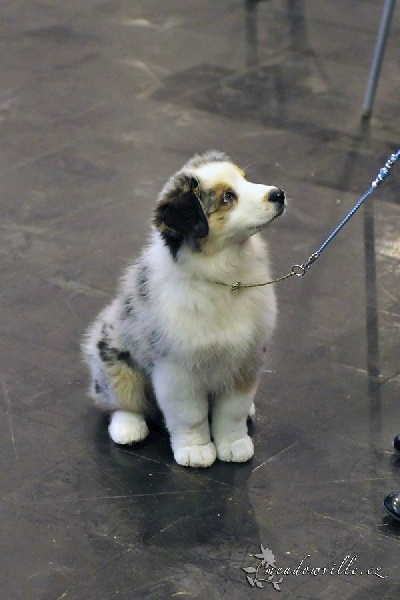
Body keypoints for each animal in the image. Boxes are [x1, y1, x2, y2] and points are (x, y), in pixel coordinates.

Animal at [82, 151, 284, 468]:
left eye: (245, 179)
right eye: (227, 197)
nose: (279, 194)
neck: (225, 280)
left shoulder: (245, 359)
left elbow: (233, 411)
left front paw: (234, 445)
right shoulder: (178, 369)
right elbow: (190, 415)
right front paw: (196, 451)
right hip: (113, 354)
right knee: (119, 401)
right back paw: (128, 428)